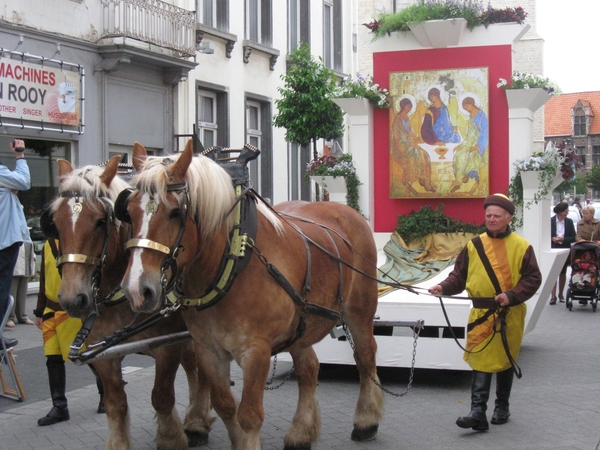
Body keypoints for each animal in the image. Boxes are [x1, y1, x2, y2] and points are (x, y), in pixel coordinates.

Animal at [47, 156, 216, 448]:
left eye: (100, 221)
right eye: (55, 225)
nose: (72, 297)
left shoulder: (167, 345)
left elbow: (161, 396)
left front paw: (171, 437)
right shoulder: (103, 353)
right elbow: (116, 405)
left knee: (200, 369)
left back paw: (196, 423)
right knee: (193, 367)